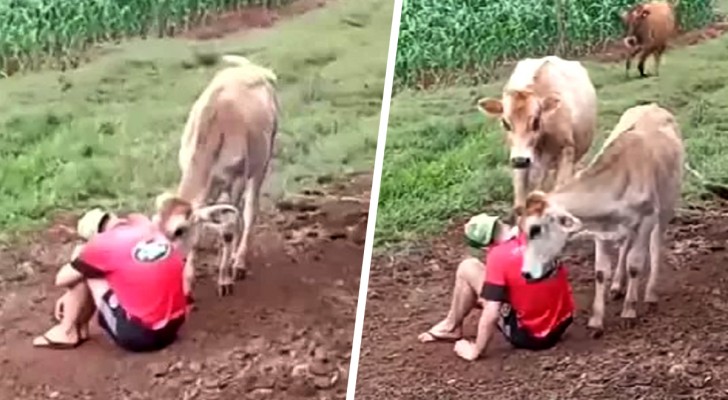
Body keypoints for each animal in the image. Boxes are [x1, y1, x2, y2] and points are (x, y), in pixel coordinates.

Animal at [154, 54, 278, 296]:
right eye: (155, 226)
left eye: (179, 230)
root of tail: (252, 68)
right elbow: (203, 228)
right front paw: (187, 282)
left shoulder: (236, 181)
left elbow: (228, 229)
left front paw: (224, 278)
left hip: (262, 162)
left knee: (248, 212)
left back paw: (238, 261)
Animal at [478, 56, 596, 214]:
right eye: (505, 123)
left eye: (536, 121)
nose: (521, 160)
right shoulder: (518, 160)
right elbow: (520, 202)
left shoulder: (567, 150)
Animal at [516, 103, 684, 334]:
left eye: (535, 229)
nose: (525, 274)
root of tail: (653, 105)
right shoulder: (601, 229)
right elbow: (601, 272)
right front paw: (596, 320)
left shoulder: (647, 219)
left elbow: (636, 263)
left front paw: (629, 311)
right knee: (625, 245)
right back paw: (617, 285)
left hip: (667, 205)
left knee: (655, 245)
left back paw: (650, 295)